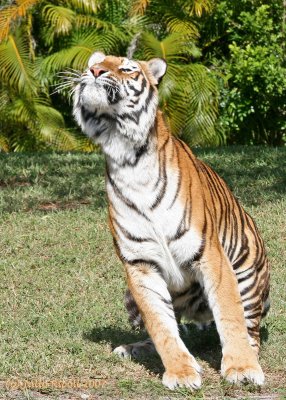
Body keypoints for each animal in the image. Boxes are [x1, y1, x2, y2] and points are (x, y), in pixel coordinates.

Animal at [72, 51, 270, 390]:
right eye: (92, 64)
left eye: (126, 68)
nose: (95, 71)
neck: (127, 156)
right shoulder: (139, 264)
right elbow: (161, 325)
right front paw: (180, 372)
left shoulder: (211, 256)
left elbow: (230, 315)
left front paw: (242, 368)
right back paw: (133, 348)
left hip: (246, 273)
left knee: (249, 327)